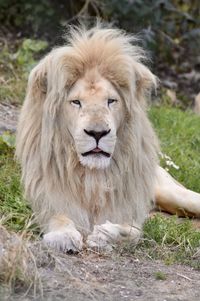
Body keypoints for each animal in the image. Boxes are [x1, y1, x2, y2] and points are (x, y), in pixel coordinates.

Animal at [15, 24, 200, 251]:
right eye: (76, 102)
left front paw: (105, 234)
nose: (97, 133)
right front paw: (64, 236)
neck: (92, 177)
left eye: (111, 101)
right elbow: (58, 217)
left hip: (174, 194)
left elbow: (132, 232)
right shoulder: (47, 201)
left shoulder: (131, 213)